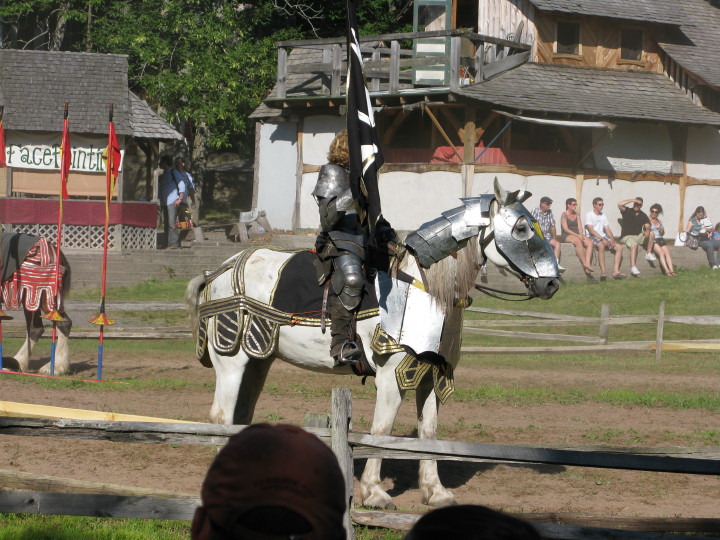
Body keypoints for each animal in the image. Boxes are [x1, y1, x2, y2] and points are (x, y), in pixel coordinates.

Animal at [184, 180, 556, 506]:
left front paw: (435, 492)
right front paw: (375, 492)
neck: (424, 286)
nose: (552, 283)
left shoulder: (430, 374)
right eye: (522, 229)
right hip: (231, 360)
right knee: (221, 417)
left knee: (240, 417)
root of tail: (220, 270)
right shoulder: (392, 376)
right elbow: (382, 430)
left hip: (257, 360)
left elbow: (429, 432)